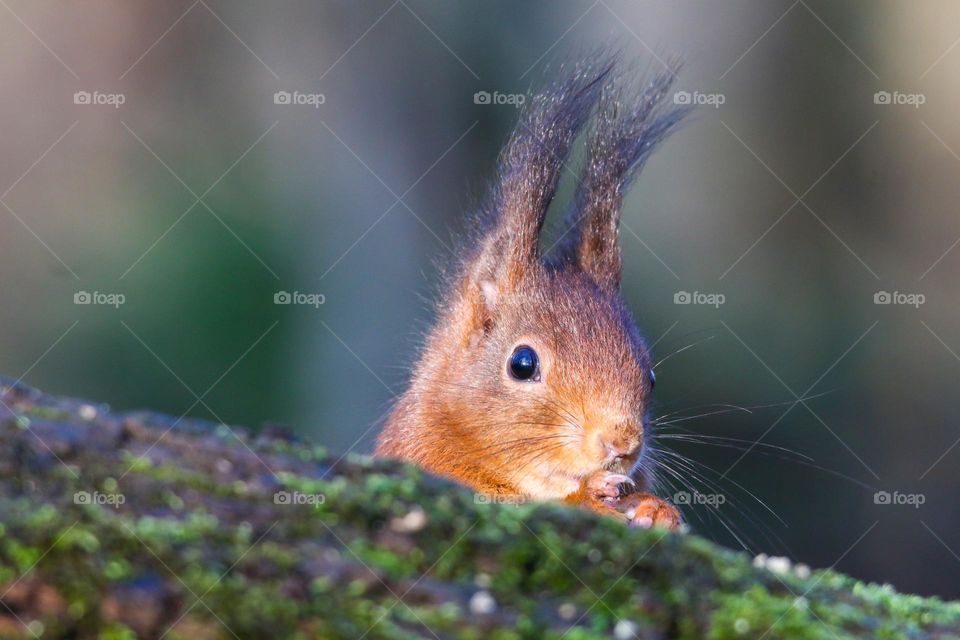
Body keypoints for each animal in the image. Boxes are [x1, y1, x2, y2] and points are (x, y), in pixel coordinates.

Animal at [375, 56, 689, 530]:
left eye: (650, 376)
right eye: (522, 364)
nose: (623, 445)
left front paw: (655, 508)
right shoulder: (427, 459)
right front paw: (587, 495)